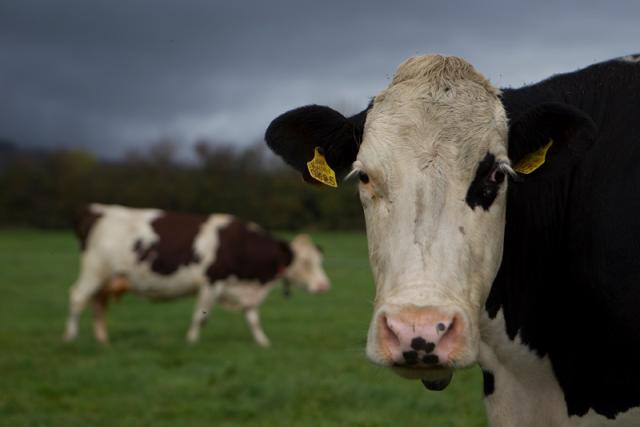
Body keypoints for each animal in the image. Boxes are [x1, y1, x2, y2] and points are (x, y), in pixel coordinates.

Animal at [64, 204, 330, 347]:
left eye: (319, 260)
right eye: (305, 262)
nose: (324, 286)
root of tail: (98, 210)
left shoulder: (246, 293)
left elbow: (253, 320)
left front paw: (263, 343)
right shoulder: (211, 283)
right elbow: (200, 316)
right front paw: (191, 341)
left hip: (106, 280)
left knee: (98, 304)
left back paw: (102, 340)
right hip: (95, 271)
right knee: (77, 297)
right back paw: (71, 337)